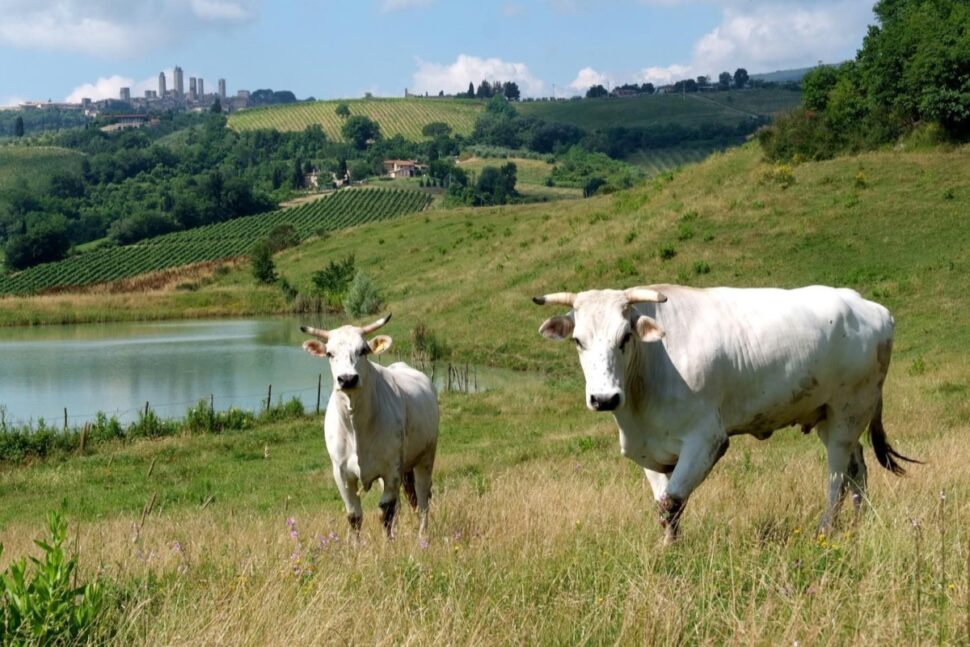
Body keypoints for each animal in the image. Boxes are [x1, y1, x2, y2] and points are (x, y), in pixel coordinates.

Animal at [300, 316, 440, 540]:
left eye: (363, 350)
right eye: (329, 353)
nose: (347, 379)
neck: (356, 426)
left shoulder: (392, 469)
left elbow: (386, 511)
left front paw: (388, 544)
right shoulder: (341, 473)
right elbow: (354, 516)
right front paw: (356, 546)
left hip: (425, 458)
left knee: (422, 498)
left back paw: (422, 535)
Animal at [532, 286, 920, 544]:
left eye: (625, 336)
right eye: (578, 341)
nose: (604, 398)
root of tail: (869, 306)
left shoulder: (706, 439)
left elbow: (672, 502)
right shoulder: (650, 451)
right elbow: (664, 504)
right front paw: (671, 549)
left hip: (848, 410)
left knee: (837, 477)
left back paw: (824, 530)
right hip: (833, 414)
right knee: (858, 470)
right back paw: (859, 524)